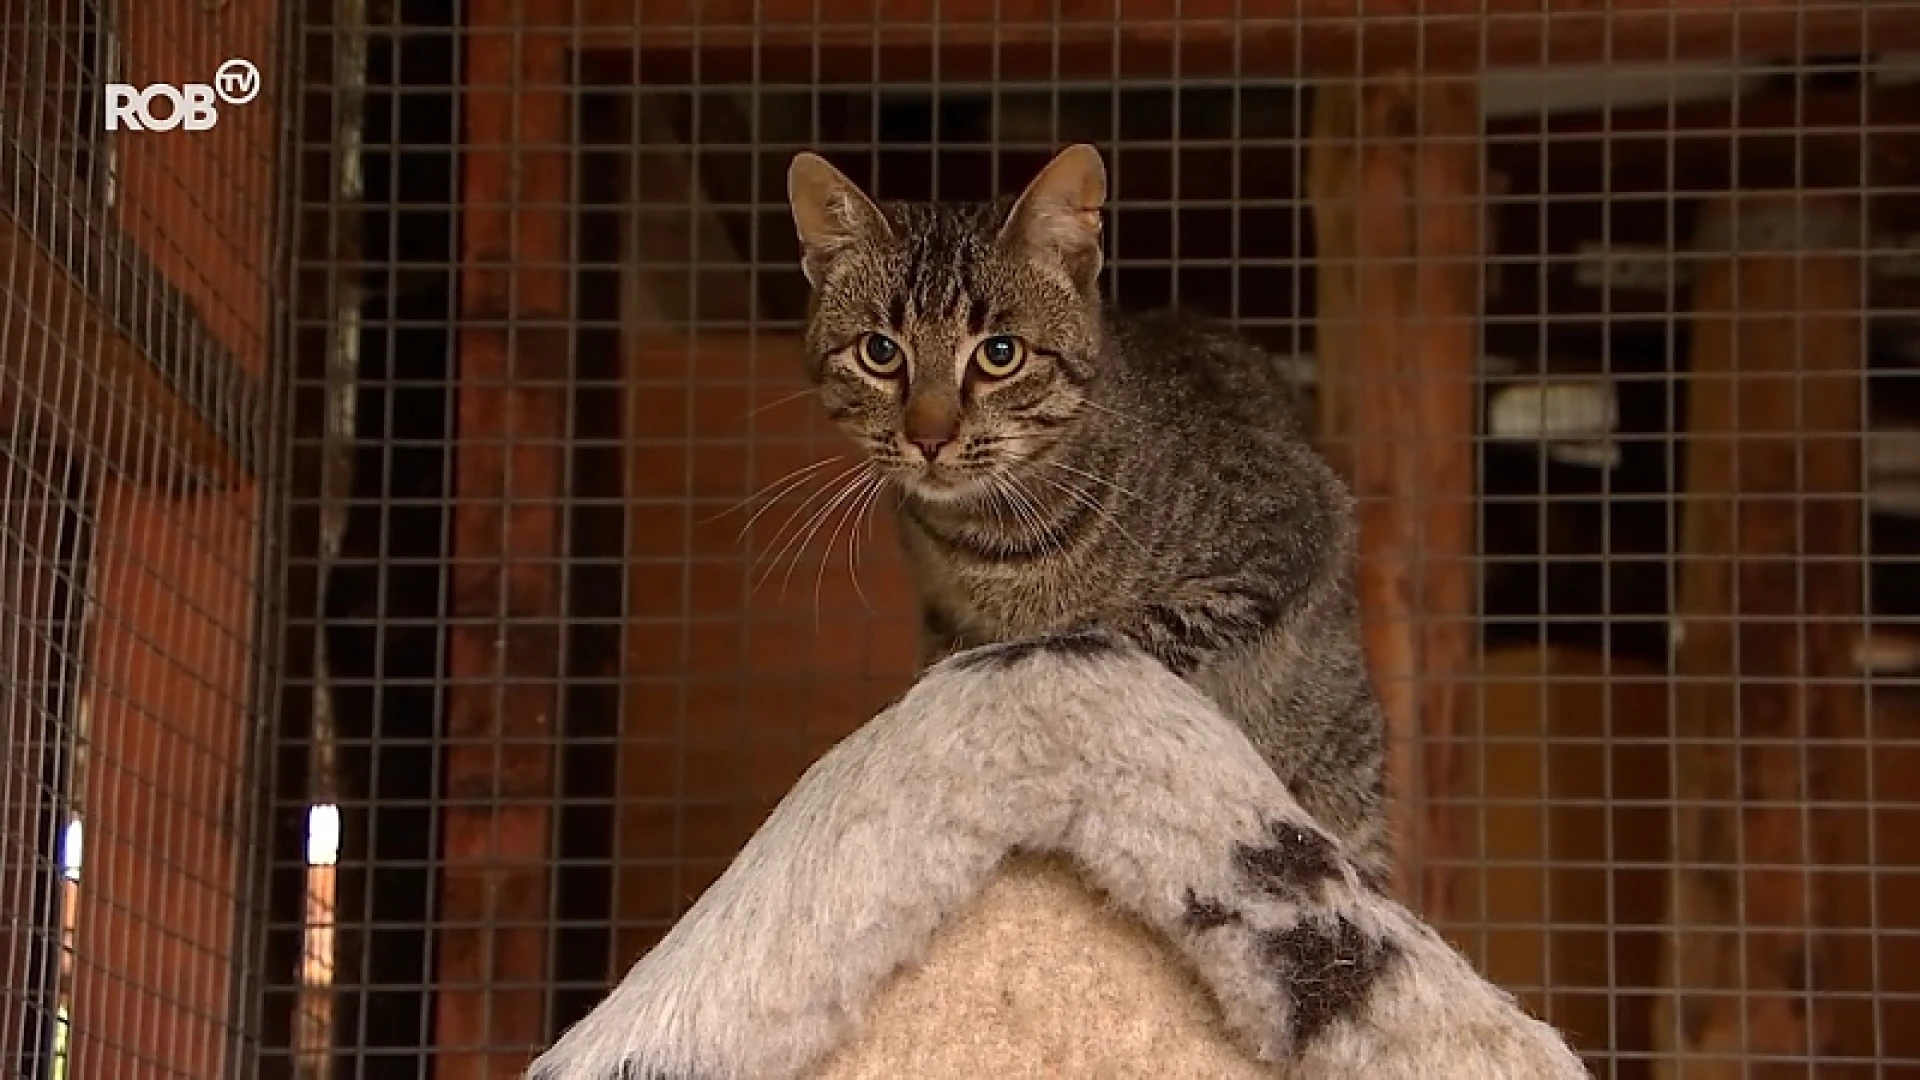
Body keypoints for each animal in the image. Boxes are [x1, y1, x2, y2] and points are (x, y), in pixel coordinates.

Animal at [787, 141, 1390, 876]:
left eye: (999, 354)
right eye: (879, 352)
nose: (929, 437)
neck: (991, 540)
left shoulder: (1290, 526)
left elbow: (1118, 631)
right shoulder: (944, 621)